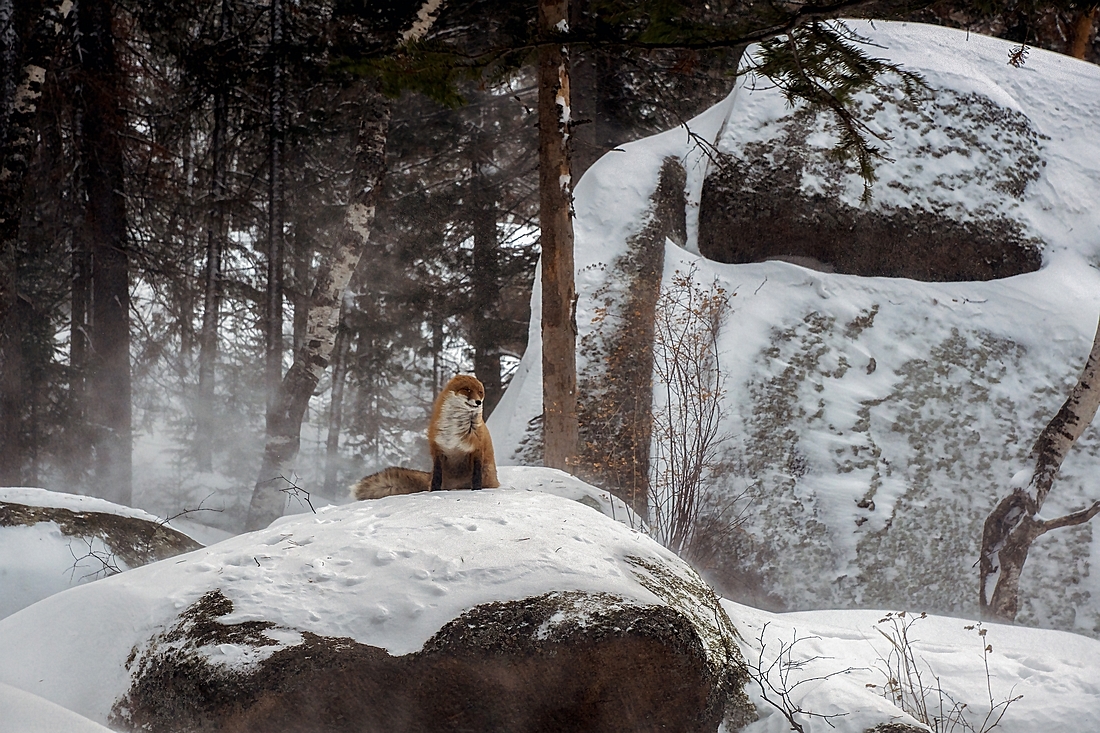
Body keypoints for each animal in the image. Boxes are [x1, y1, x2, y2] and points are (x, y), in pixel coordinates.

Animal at [349, 374, 501, 499]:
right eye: (467, 389)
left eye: (480, 392)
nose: (478, 402)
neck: (455, 427)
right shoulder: (438, 449)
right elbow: (437, 478)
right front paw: (434, 493)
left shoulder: (476, 449)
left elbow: (476, 476)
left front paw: (476, 491)